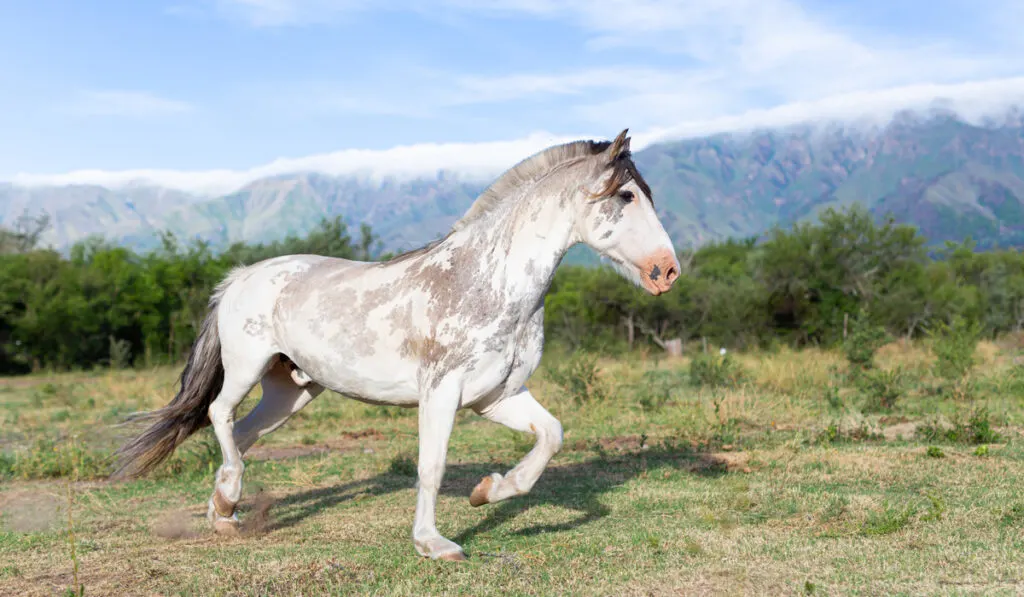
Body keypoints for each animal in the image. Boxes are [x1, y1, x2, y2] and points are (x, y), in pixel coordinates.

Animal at [112, 128, 675, 561]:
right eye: (626, 197)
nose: (667, 271)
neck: (487, 281)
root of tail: (240, 277)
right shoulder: (442, 393)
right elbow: (432, 465)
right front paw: (434, 544)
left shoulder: (497, 397)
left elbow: (551, 436)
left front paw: (488, 491)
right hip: (247, 366)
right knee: (220, 415)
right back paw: (228, 496)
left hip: (291, 390)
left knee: (243, 432)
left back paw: (224, 513)